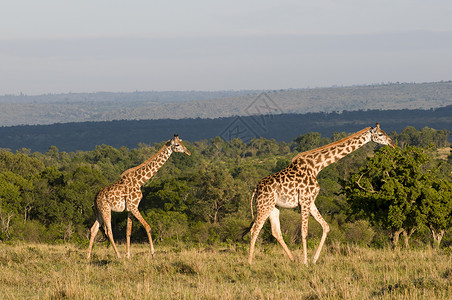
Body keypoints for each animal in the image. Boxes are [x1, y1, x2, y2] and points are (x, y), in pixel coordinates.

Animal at [247, 123, 396, 264]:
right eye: (380, 134)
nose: (392, 144)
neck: (317, 166)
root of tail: (256, 189)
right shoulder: (305, 200)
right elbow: (304, 232)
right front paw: (305, 262)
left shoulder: (310, 201)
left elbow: (326, 226)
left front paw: (313, 259)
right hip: (264, 205)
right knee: (255, 229)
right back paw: (250, 262)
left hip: (273, 207)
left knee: (276, 232)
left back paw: (293, 259)